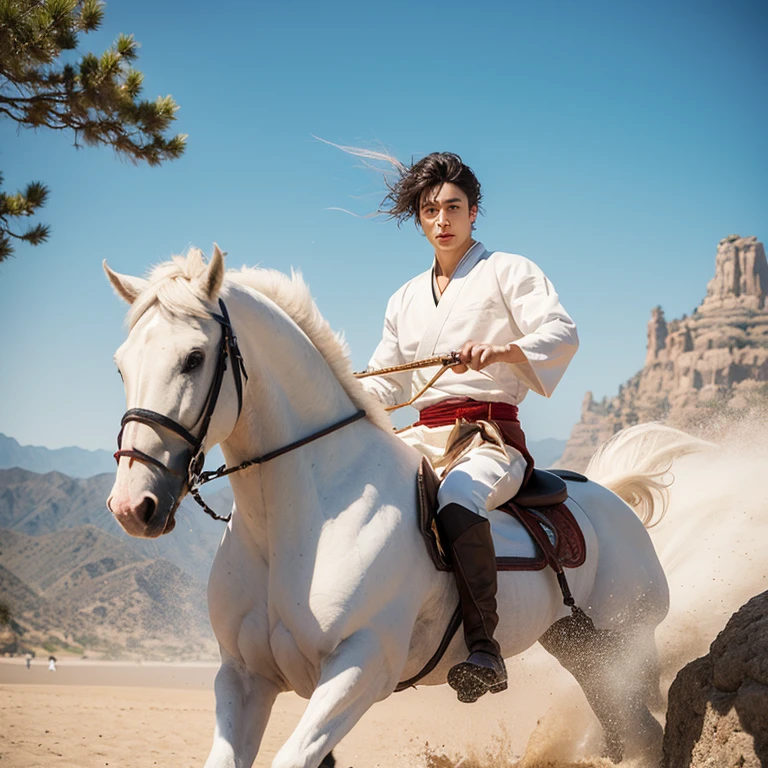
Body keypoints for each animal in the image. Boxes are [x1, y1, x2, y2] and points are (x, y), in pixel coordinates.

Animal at [106, 249, 708, 764]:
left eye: (194, 358)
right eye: (120, 365)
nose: (134, 505)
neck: (298, 522)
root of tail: (611, 498)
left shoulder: (360, 667)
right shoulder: (244, 677)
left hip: (624, 648)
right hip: (581, 649)